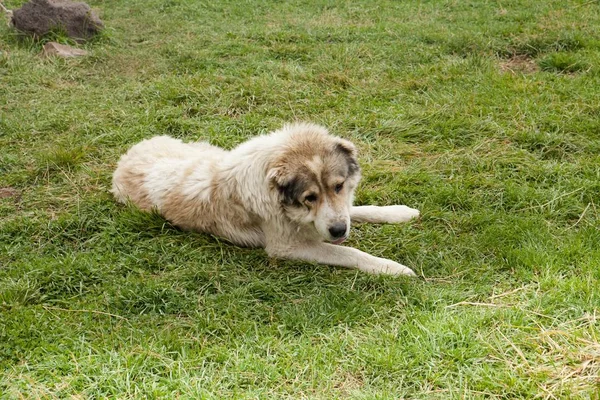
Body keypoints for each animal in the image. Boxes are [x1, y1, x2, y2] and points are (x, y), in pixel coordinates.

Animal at [113, 123, 422, 276]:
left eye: (338, 186)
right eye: (310, 197)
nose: (338, 231)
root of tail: (124, 158)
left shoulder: (336, 213)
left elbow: (357, 209)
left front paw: (400, 212)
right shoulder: (285, 246)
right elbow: (349, 252)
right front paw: (391, 267)